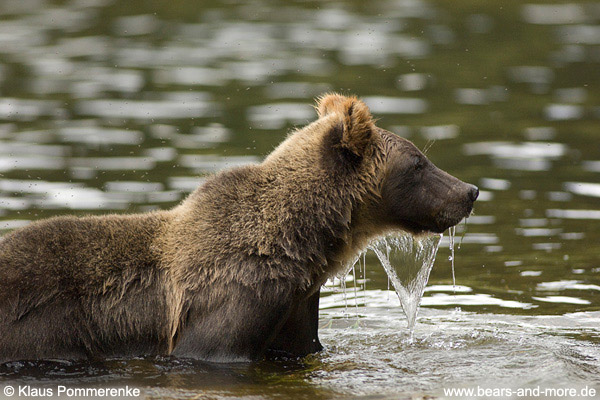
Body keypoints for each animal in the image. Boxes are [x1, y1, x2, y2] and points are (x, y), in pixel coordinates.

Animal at [0, 94, 478, 362]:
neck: (301, 246)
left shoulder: (294, 305)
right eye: (418, 162)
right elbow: (215, 349)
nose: (470, 191)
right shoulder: (232, 299)